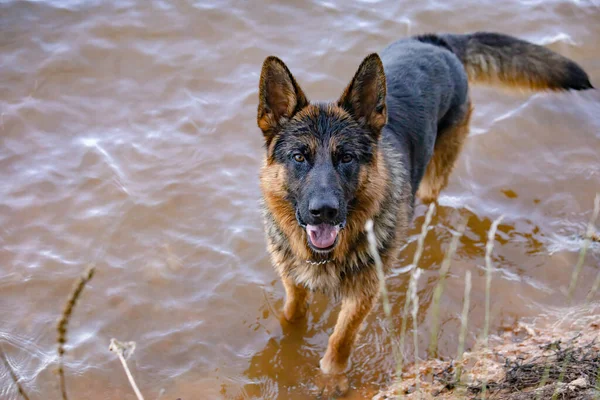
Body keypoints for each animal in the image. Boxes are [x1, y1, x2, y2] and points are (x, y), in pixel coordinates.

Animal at [254, 32, 592, 376]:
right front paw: (285, 345)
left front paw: (332, 378)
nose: (324, 211)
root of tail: (437, 41)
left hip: (432, 180)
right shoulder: (293, 283)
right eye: (299, 157)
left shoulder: (362, 296)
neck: (325, 257)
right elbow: (292, 314)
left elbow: (340, 341)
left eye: (346, 157)